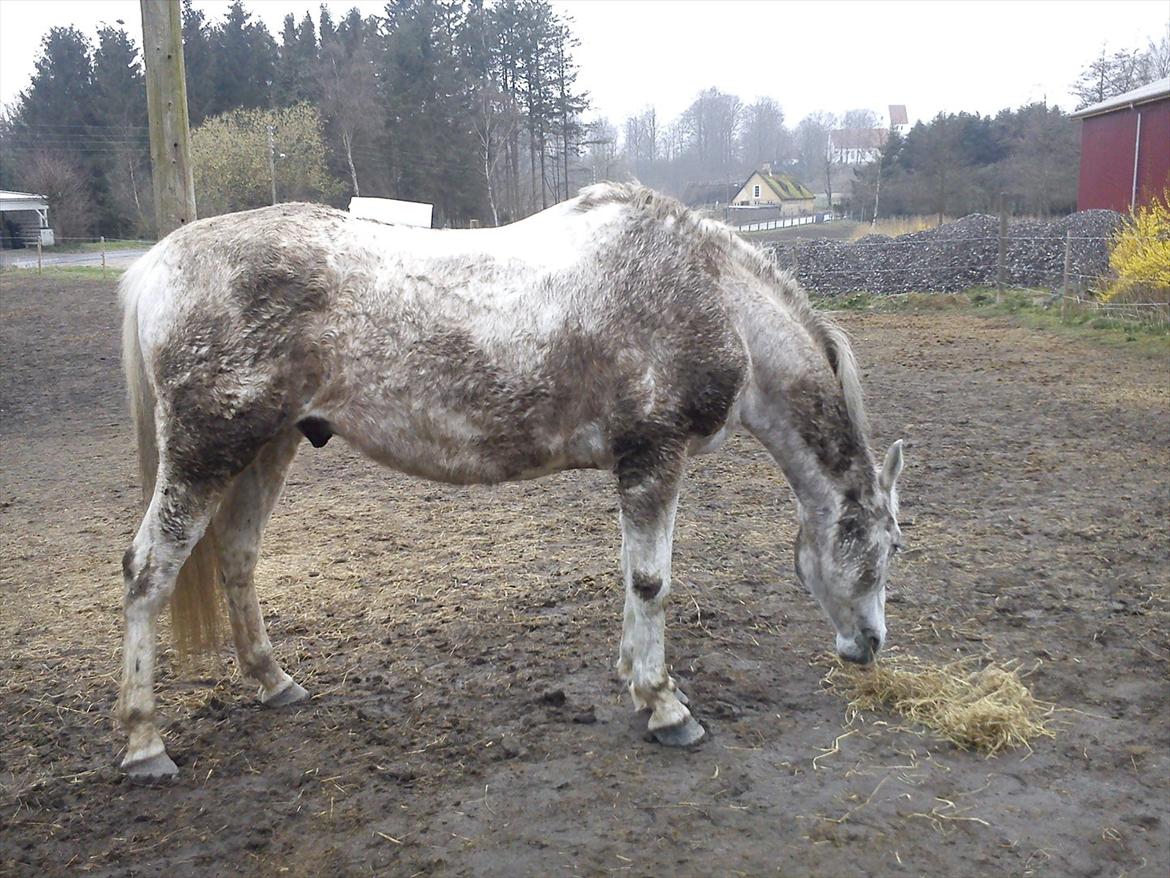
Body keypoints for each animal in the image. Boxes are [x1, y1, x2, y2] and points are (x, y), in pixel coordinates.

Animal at [116, 182, 903, 782]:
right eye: (889, 548)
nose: (869, 645)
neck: (712, 296)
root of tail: (156, 264)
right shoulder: (655, 456)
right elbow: (653, 582)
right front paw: (666, 707)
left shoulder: (638, 469)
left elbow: (632, 579)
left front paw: (635, 680)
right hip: (206, 452)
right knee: (148, 570)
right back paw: (145, 743)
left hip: (268, 447)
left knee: (237, 556)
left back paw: (274, 683)